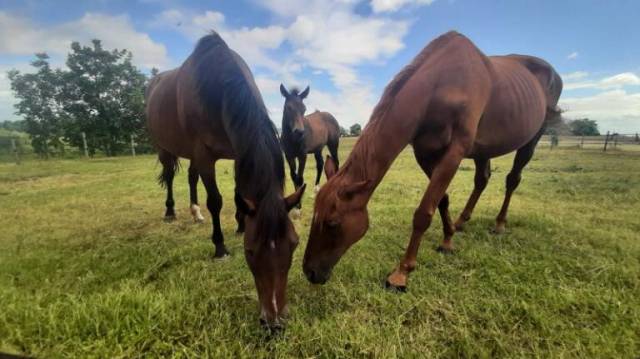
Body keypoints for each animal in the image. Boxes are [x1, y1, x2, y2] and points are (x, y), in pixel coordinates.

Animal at [146, 32, 304, 330]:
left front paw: (241, 223)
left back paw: (195, 214)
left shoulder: (237, 150)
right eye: (249, 252)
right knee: (171, 176)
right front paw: (220, 247)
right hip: (165, 148)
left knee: (191, 177)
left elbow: (238, 193)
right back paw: (171, 212)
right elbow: (216, 200)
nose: (274, 322)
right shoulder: (204, 154)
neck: (216, 88)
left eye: (294, 244)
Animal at [302, 31, 564, 292]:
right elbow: (442, 200)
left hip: (532, 139)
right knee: (482, 180)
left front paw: (402, 272)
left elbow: (423, 212)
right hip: (484, 149)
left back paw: (499, 223)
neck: (441, 86)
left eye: (333, 223)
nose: (310, 272)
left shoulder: (455, 152)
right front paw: (448, 239)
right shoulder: (425, 153)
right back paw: (462, 222)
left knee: (512, 180)